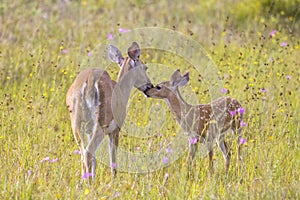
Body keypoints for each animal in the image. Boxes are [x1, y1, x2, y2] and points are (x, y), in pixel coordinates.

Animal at [66, 42, 154, 180]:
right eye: (145, 67)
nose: (150, 86)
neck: (120, 91)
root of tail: (88, 82)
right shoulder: (115, 129)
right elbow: (113, 159)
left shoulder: (89, 130)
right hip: (101, 122)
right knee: (88, 152)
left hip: (77, 123)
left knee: (83, 153)